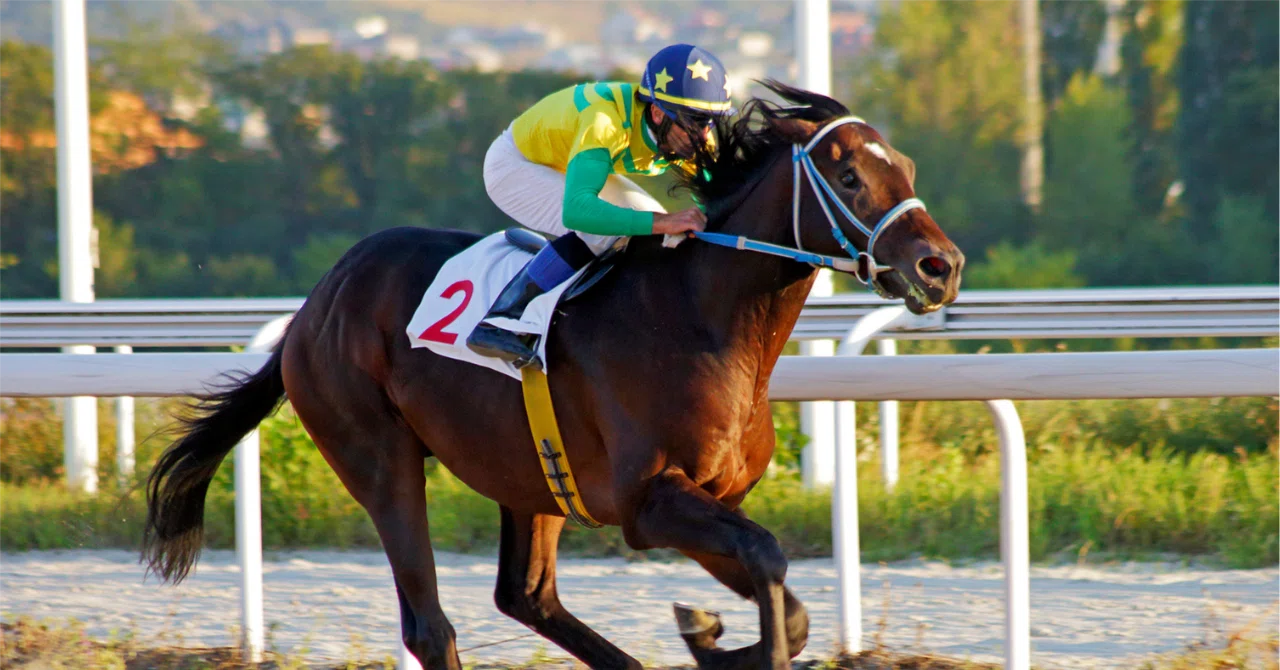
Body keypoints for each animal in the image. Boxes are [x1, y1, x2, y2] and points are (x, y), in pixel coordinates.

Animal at [142, 81, 964, 670]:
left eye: (907, 169)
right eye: (849, 176)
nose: (941, 266)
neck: (703, 319)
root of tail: (315, 306)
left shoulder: (708, 499)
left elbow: (786, 601)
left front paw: (708, 635)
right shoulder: (648, 501)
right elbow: (768, 558)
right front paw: (710, 638)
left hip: (530, 473)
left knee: (527, 597)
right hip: (378, 456)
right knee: (431, 626)